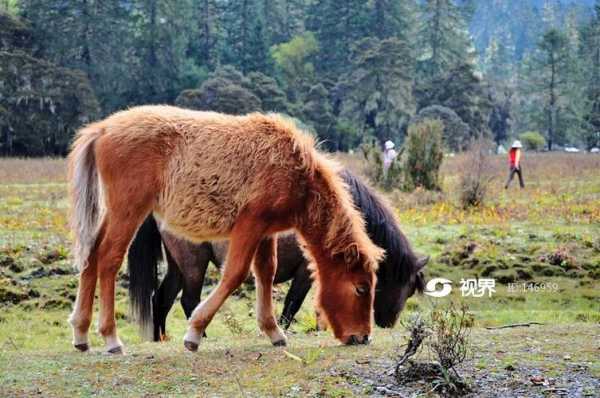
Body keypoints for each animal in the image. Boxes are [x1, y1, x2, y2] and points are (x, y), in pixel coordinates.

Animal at [67, 105, 384, 354]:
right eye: (361, 288)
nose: (362, 337)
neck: (295, 169)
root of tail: (102, 129)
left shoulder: (266, 231)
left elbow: (266, 273)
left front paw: (273, 331)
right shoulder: (250, 224)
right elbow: (235, 274)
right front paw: (195, 332)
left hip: (114, 214)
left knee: (91, 256)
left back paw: (81, 333)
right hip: (128, 211)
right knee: (108, 258)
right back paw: (110, 337)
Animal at [126, 169, 426, 340]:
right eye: (409, 288)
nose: (387, 323)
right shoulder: (306, 272)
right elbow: (293, 304)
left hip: (178, 265)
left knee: (161, 299)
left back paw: (160, 338)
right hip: (193, 264)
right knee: (189, 300)